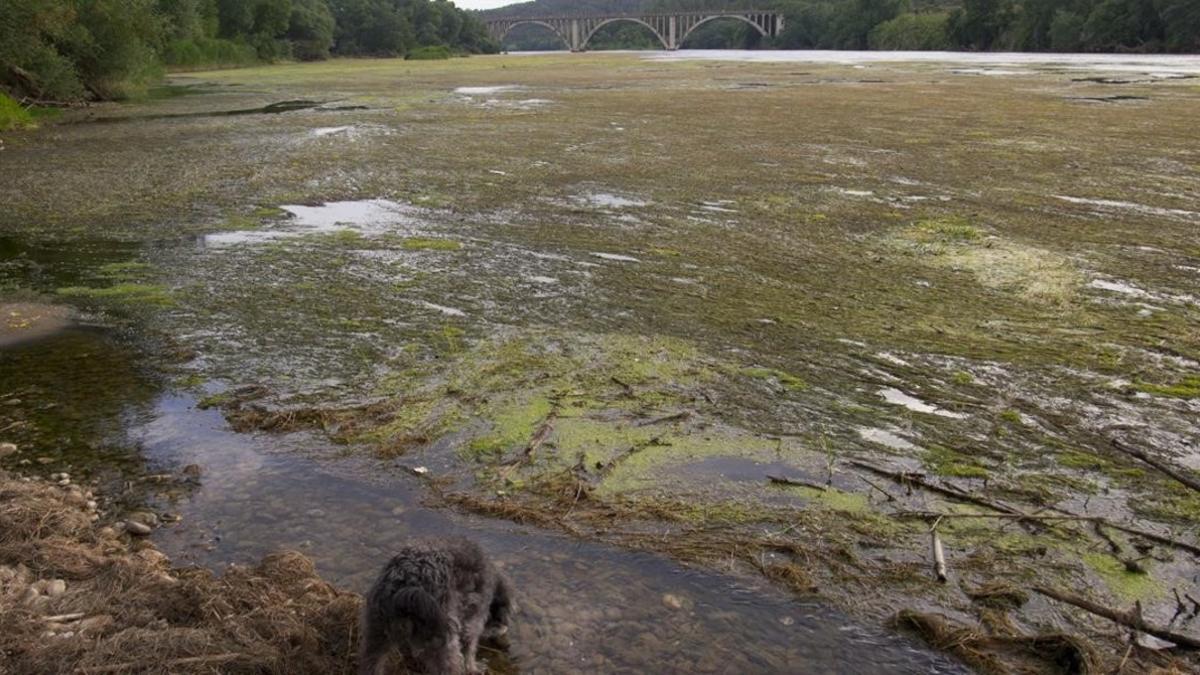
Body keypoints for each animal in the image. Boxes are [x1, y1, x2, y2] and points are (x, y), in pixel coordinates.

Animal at [352, 535, 508, 672]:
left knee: (372, 661)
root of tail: (407, 586)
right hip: (444, 642)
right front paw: (473, 668)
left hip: (376, 632)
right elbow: (469, 646)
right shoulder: (475, 617)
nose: (504, 628)